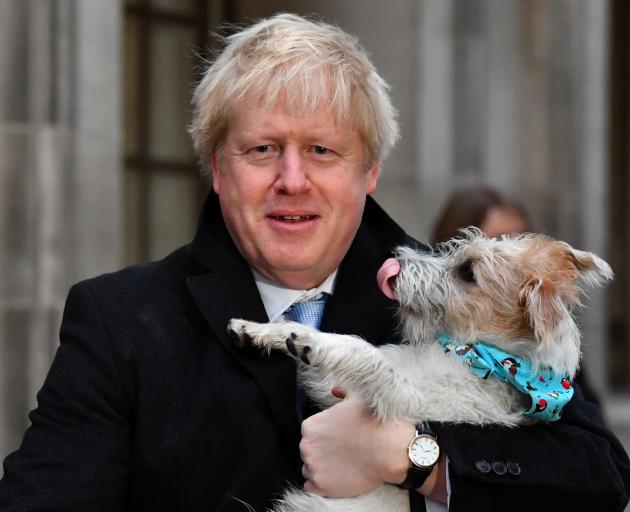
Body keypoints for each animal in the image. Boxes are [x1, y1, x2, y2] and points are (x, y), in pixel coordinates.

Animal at [230, 232, 616, 512]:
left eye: (468, 272)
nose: (395, 259)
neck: (477, 355)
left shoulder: (398, 398)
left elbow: (364, 354)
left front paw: (312, 343)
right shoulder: (337, 389)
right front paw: (262, 331)